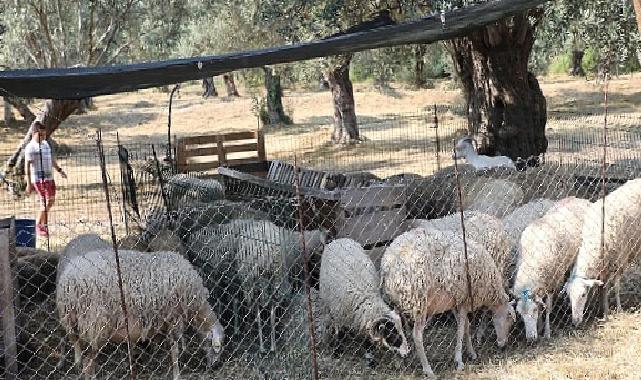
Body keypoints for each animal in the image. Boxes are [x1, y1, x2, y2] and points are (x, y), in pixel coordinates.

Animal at [55, 249, 225, 380]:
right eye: (216, 346)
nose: (215, 366)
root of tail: (67, 280)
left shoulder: (160, 319)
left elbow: (159, 343)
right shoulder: (174, 317)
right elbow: (174, 351)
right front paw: (177, 374)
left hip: (72, 321)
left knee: (79, 351)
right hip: (96, 324)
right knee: (88, 364)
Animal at [380, 227, 516, 376]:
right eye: (509, 318)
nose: (503, 345)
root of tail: (387, 265)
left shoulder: (457, 302)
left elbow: (466, 326)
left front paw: (471, 353)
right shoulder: (465, 301)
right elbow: (461, 329)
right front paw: (459, 361)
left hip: (398, 299)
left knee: (396, 319)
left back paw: (404, 351)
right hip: (418, 301)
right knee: (417, 336)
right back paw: (428, 369)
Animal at [512, 197, 592, 340]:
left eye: (533, 311)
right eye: (520, 314)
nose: (530, 339)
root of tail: (578, 198)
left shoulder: (552, 283)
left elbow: (547, 308)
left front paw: (547, 332)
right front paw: (539, 327)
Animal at [564, 177, 640, 324]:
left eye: (583, 295)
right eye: (569, 297)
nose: (575, 321)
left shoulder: (619, 259)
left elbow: (616, 286)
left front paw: (619, 309)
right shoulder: (603, 267)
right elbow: (602, 288)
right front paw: (603, 311)